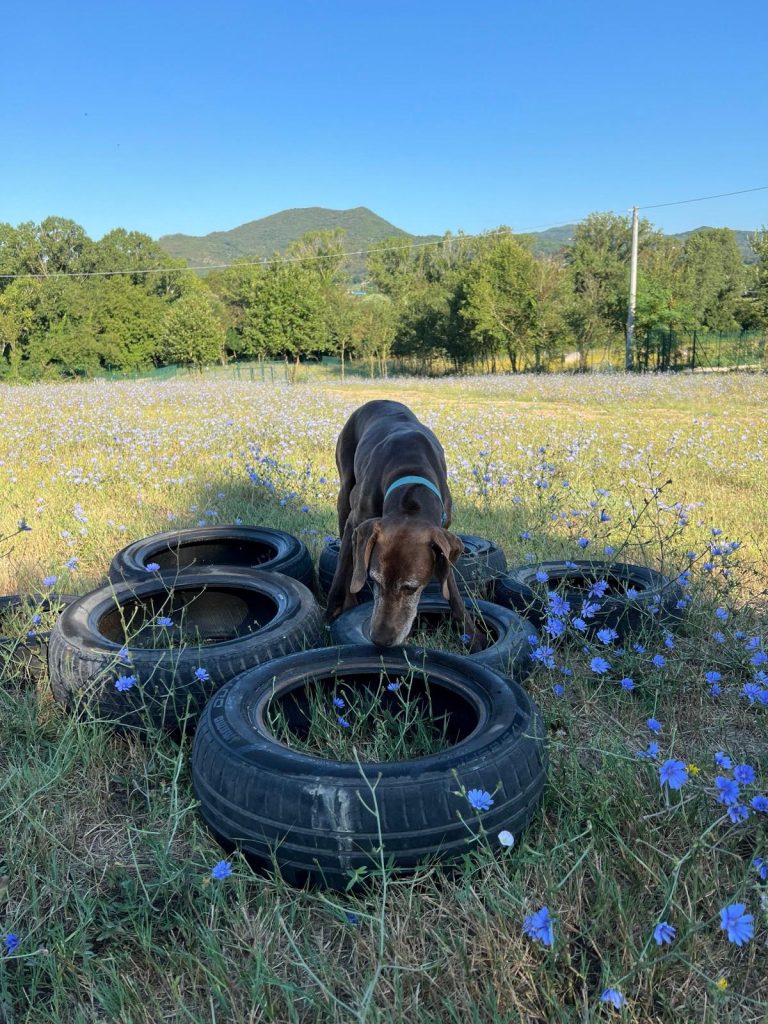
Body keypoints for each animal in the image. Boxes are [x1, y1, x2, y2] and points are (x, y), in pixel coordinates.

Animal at [323, 397, 473, 643]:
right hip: (345, 490)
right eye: (375, 581)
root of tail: (377, 400)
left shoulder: (444, 537)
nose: (380, 640)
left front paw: (471, 633)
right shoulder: (355, 526)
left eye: (411, 588)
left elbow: (451, 589)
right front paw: (331, 615)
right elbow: (342, 574)